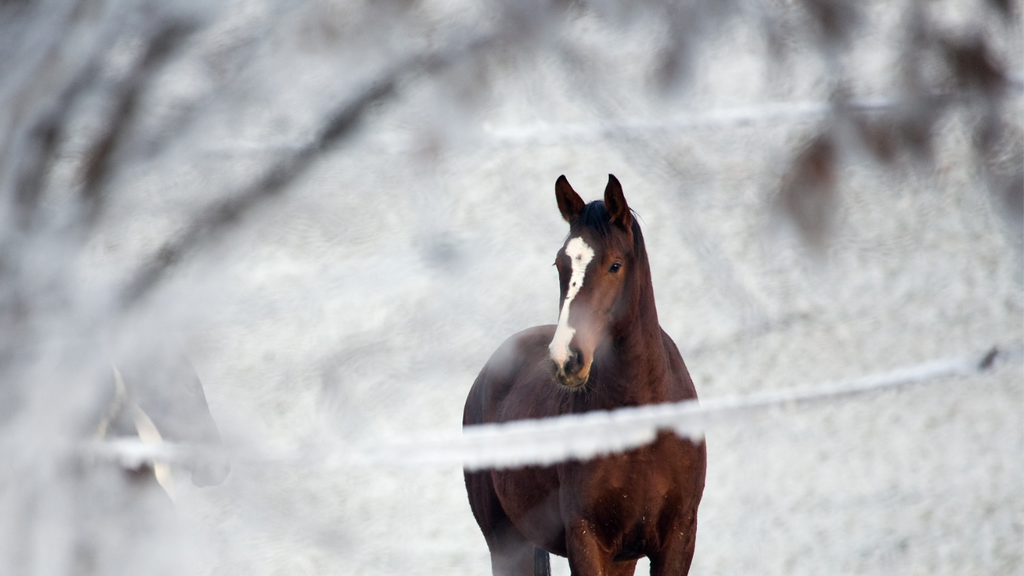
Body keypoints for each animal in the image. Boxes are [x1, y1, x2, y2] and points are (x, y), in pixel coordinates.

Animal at [464, 175, 704, 573]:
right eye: (560, 264)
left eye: (615, 265)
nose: (566, 359)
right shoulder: (586, 539)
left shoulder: (677, 539)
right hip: (506, 544)